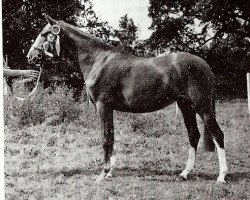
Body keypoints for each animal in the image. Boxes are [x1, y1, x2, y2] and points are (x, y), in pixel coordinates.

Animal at [26, 13, 229, 183]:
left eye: (44, 34)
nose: (31, 56)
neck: (98, 60)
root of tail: (205, 65)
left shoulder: (102, 106)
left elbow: (105, 138)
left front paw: (103, 173)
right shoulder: (109, 108)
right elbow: (112, 136)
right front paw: (109, 172)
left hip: (202, 107)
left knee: (217, 134)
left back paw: (221, 176)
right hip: (186, 106)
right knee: (193, 135)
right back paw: (184, 173)